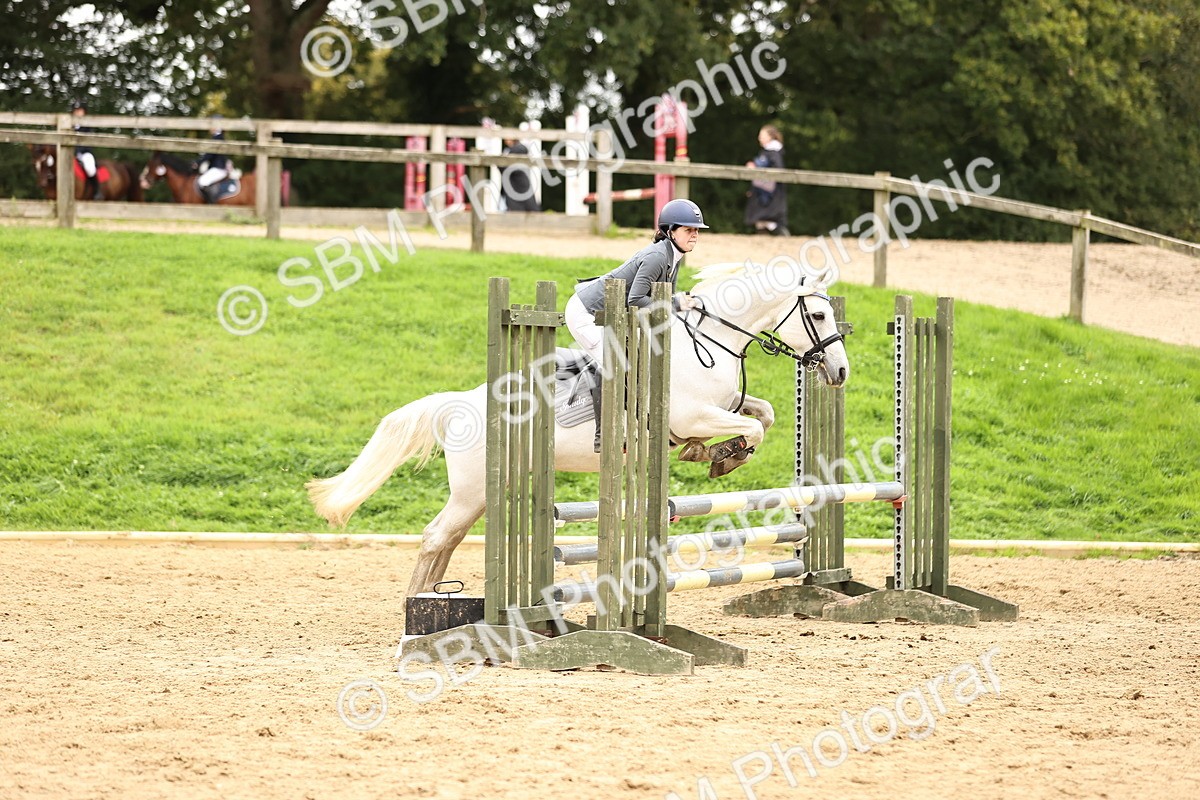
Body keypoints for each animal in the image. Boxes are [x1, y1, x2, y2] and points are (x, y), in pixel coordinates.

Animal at [306, 262, 851, 596]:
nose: (840, 372)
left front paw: (715, 453)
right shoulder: (691, 414)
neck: (711, 339)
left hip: (484, 490)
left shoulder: (724, 405)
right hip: (472, 489)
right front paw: (720, 455)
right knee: (436, 536)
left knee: (448, 538)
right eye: (817, 313)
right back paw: (417, 606)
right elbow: (748, 429)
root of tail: (456, 404)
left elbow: (765, 414)